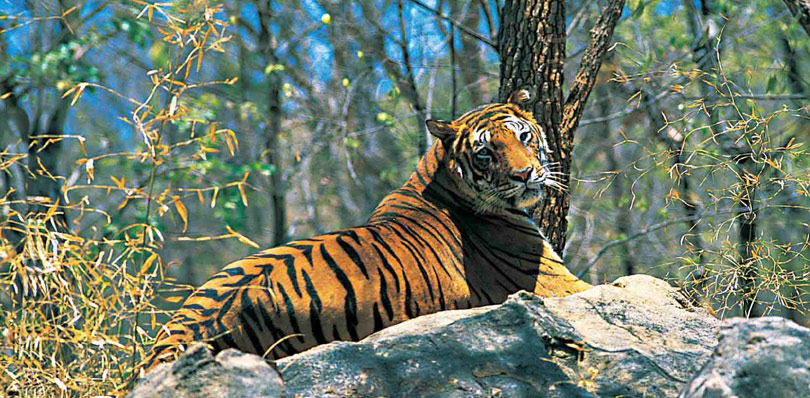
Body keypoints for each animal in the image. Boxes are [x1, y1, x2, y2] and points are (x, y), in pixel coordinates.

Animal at [142, 90, 588, 374]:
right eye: (485, 153)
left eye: (524, 137)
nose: (525, 174)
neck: (440, 177)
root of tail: (175, 339)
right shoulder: (556, 284)